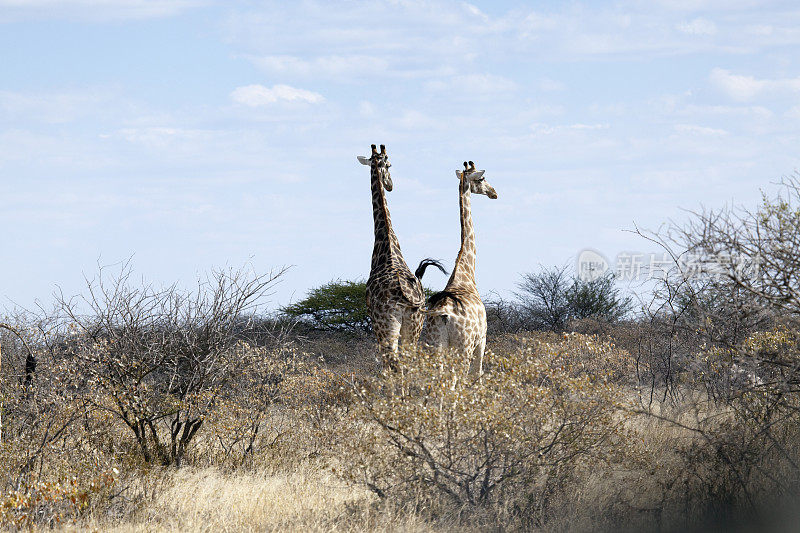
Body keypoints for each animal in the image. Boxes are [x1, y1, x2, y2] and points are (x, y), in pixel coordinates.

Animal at [360, 145, 446, 370]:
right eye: (389, 165)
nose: (390, 185)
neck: (387, 246)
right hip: (411, 323)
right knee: (405, 361)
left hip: (388, 323)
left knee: (393, 361)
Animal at [422, 160, 496, 372]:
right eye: (482, 178)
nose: (494, 193)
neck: (466, 274)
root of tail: (443, 313)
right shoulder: (482, 339)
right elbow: (478, 374)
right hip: (464, 345)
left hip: (434, 344)